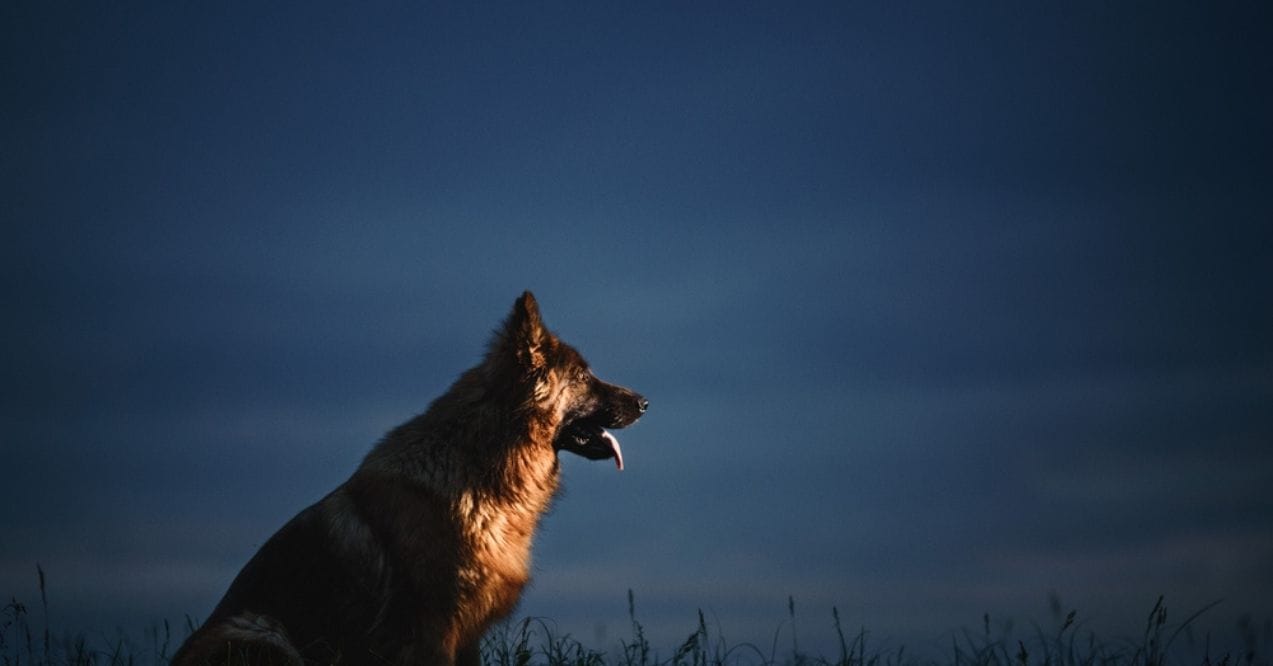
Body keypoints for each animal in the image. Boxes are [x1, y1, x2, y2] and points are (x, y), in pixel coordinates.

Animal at [171, 294, 646, 662]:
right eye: (582, 376)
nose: (645, 402)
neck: (481, 464)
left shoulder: (466, 631)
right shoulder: (432, 627)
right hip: (260, 631)